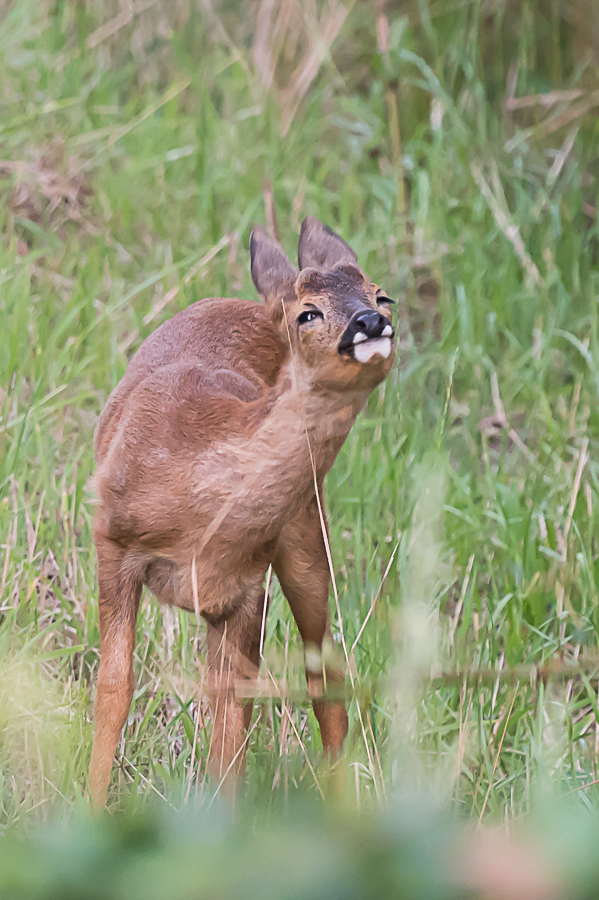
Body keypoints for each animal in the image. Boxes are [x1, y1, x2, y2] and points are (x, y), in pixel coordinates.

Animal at [90, 220, 394, 808]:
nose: (370, 322)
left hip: (306, 533)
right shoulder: (111, 541)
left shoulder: (248, 586)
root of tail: (254, 305)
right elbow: (114, 689)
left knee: (323, 674)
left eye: (381, 294)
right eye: (308, 312)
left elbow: (231, 723)